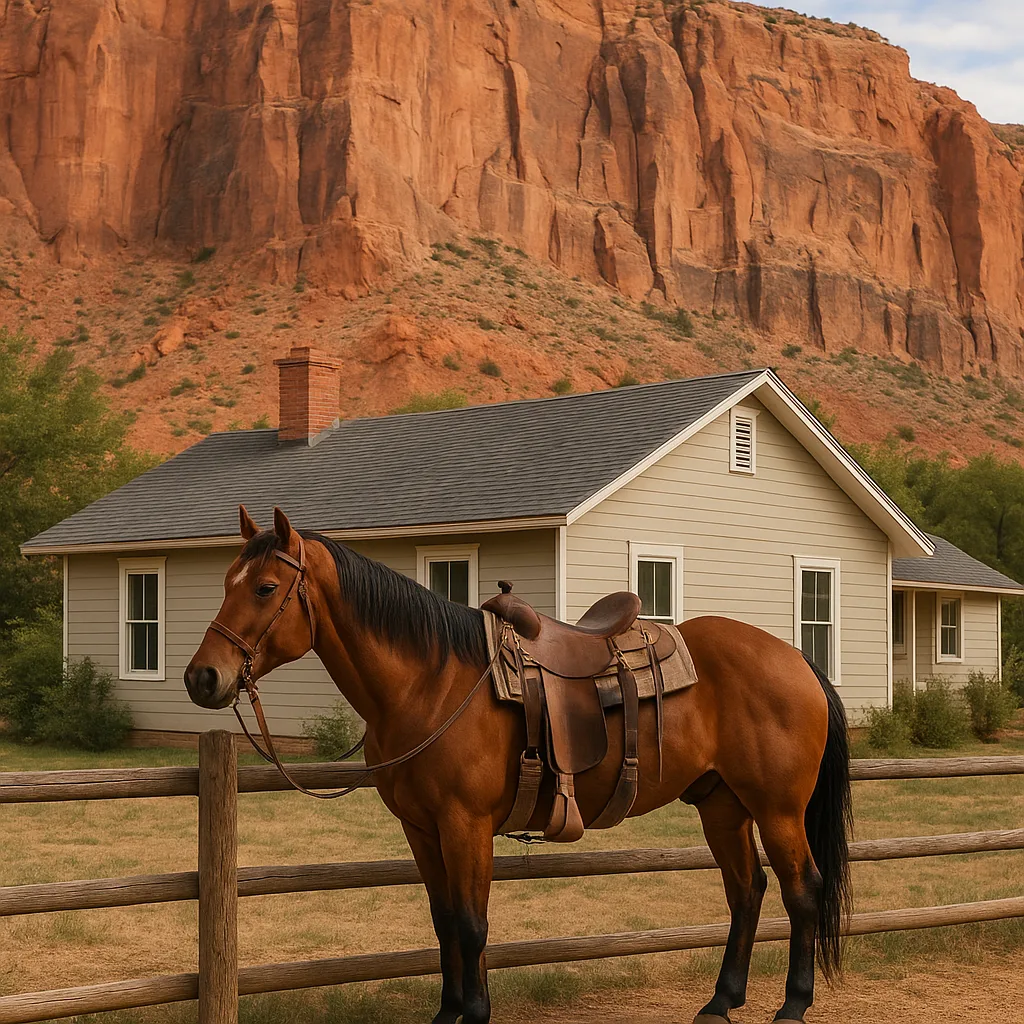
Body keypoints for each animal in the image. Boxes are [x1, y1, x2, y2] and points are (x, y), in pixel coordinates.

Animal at [185, 505, 852, 1024]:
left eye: (265, 588)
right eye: (225, 582)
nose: (202, 677)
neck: (430, 683)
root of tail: (796, 659)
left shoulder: (466, 824)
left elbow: (472, 925)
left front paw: (475, 1014)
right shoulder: (421, 828)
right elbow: (444, 920)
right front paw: (448, 1012)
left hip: (778, 809)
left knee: (802, 890)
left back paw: (792, 1005)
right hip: (723, 805)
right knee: (747, 890)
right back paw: (720, 1001)